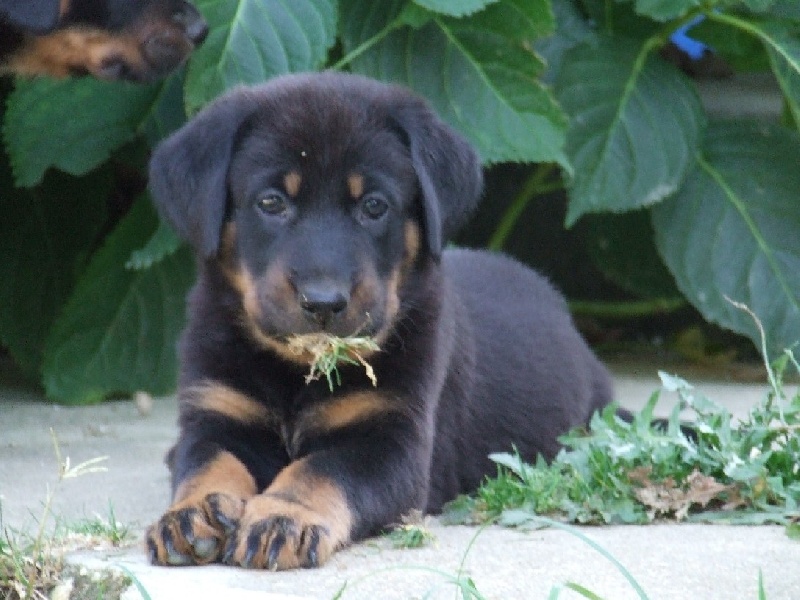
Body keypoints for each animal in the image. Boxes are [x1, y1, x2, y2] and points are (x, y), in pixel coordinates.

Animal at [147, 72, 616, 568]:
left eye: (373, 206)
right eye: (271, 202)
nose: (323, 302)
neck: (298, 372)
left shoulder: (390, 440)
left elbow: (320, 469)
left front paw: (283, 518)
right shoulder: (216, 413)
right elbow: (209, 464)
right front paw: (192, 513)